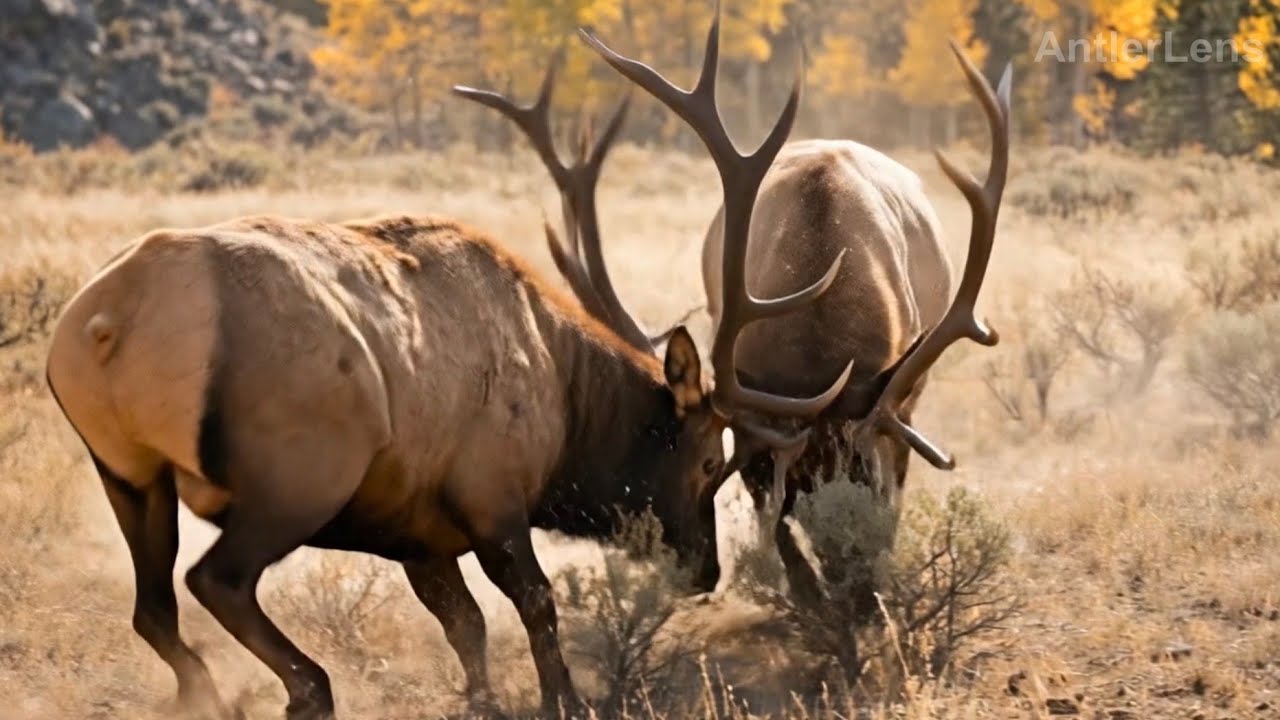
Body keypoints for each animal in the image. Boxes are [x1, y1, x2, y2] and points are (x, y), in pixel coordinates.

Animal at [43, 57, 846, 720]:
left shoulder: (418, 530)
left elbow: (466, 627)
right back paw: (309, 689)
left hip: (126, 470)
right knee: (216, 581)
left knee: (153, 609)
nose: (705, 568)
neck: (566, 406)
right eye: (711, 460)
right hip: (297, 474)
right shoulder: (492, 496)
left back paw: (210, 695)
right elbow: (536, 605)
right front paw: (566, 700)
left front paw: (483, 700)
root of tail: (109, 323)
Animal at [579, 13, 1012, 609]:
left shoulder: (890, 408)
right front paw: (806, 598)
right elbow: (777, 533)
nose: (861, 607)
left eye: (869, 492)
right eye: (800, 494)